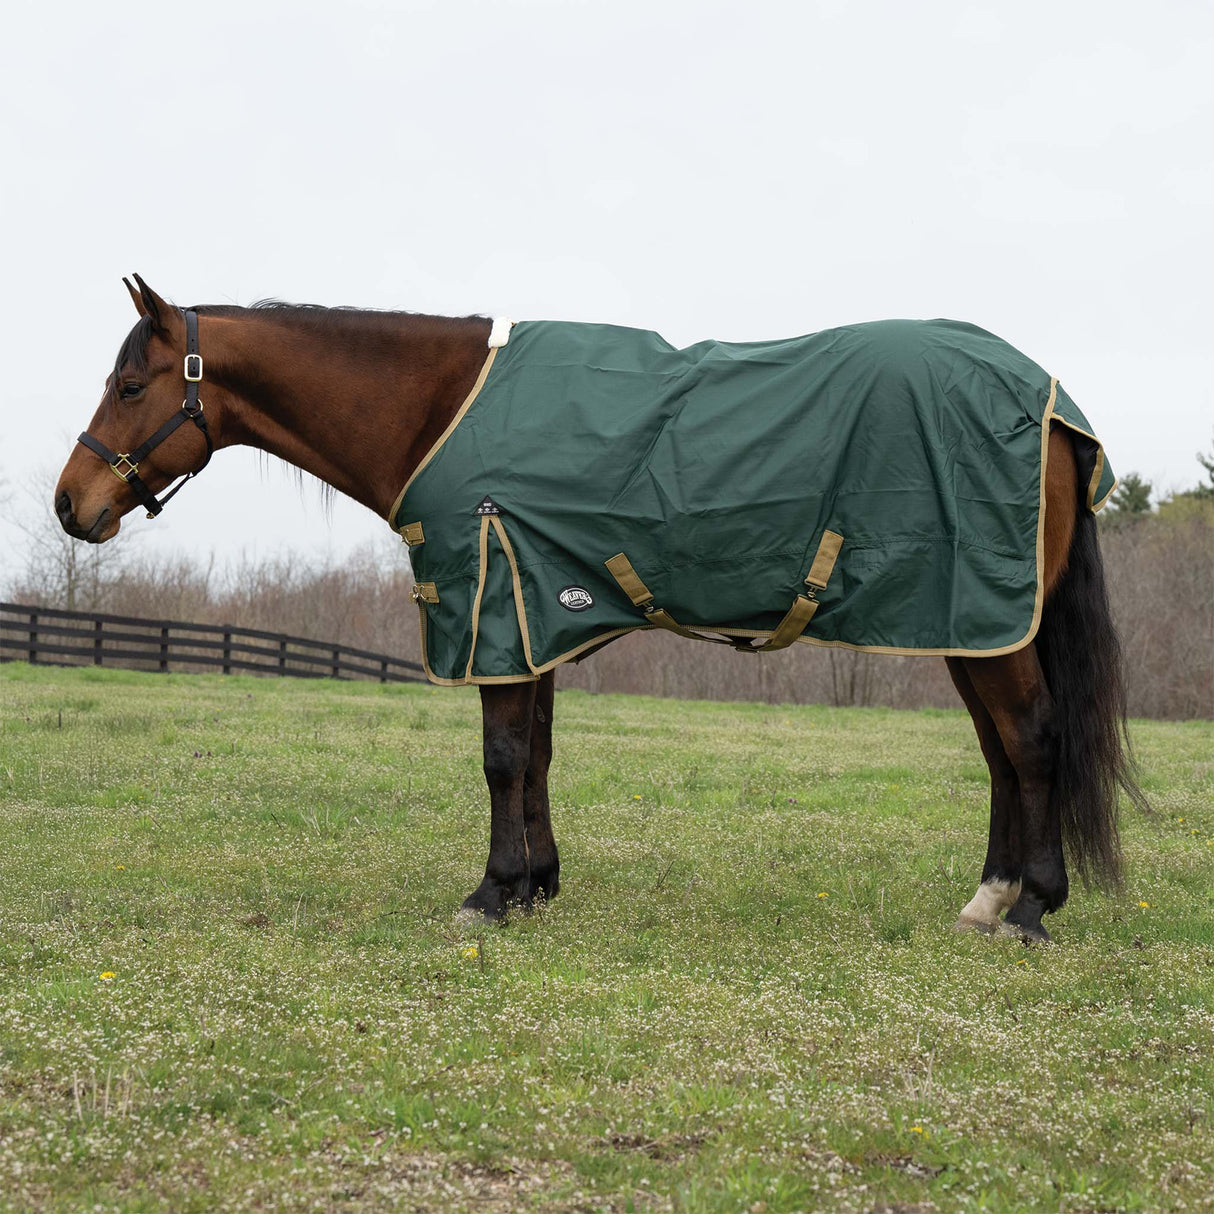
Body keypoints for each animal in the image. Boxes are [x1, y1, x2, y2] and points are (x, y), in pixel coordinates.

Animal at [54, 276, 1145, 941]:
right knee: (1002, 751)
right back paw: (989, 896)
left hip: (985, 619)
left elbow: (500, 757)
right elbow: (534, 755)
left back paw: (1032, 909)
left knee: (1033, 738)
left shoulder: (495, 605)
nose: (73, 504)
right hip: (967, 622)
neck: (442, 410)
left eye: (132, 382)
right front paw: (535, 883)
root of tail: (1052, 405)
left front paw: (489, 894)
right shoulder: (531, 612)